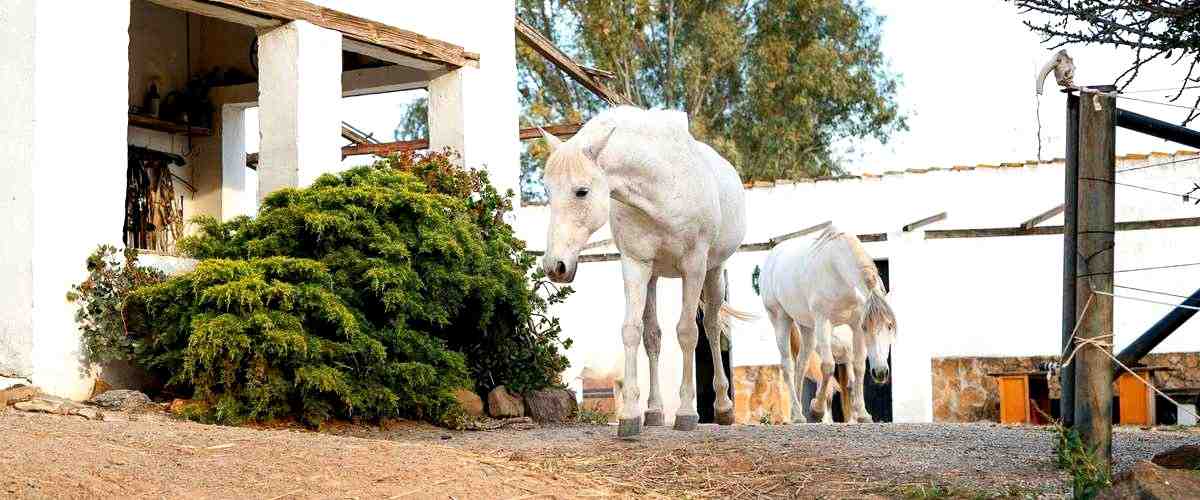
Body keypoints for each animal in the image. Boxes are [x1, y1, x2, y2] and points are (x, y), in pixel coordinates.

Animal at [540, 106, 744, 436]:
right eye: (547, 191)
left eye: (581, 191)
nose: (555, 266)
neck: (660, 186)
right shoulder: (635, 264)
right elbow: (633, 331)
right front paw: (630, 415)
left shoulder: (694, 266)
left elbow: (688, 332)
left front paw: (687, 412)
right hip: (654, 277)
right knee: (653, 337)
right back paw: (655, 411)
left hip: (714, 272)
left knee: (713, 329)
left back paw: (723, 407)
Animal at [763, 225, 897, 422]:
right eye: (867, 328)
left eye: (889, 326)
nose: (881, 373)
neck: (836, 270)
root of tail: (772, 256)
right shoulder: (824, 322)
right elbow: (827, 366)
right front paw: (817, 410)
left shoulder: (855, 325)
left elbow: (858, 367)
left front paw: (863, 414)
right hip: (781, 320)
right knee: (788, 366)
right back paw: (798, 414)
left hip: (807, 328)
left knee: (801, 364)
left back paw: (798, 414)